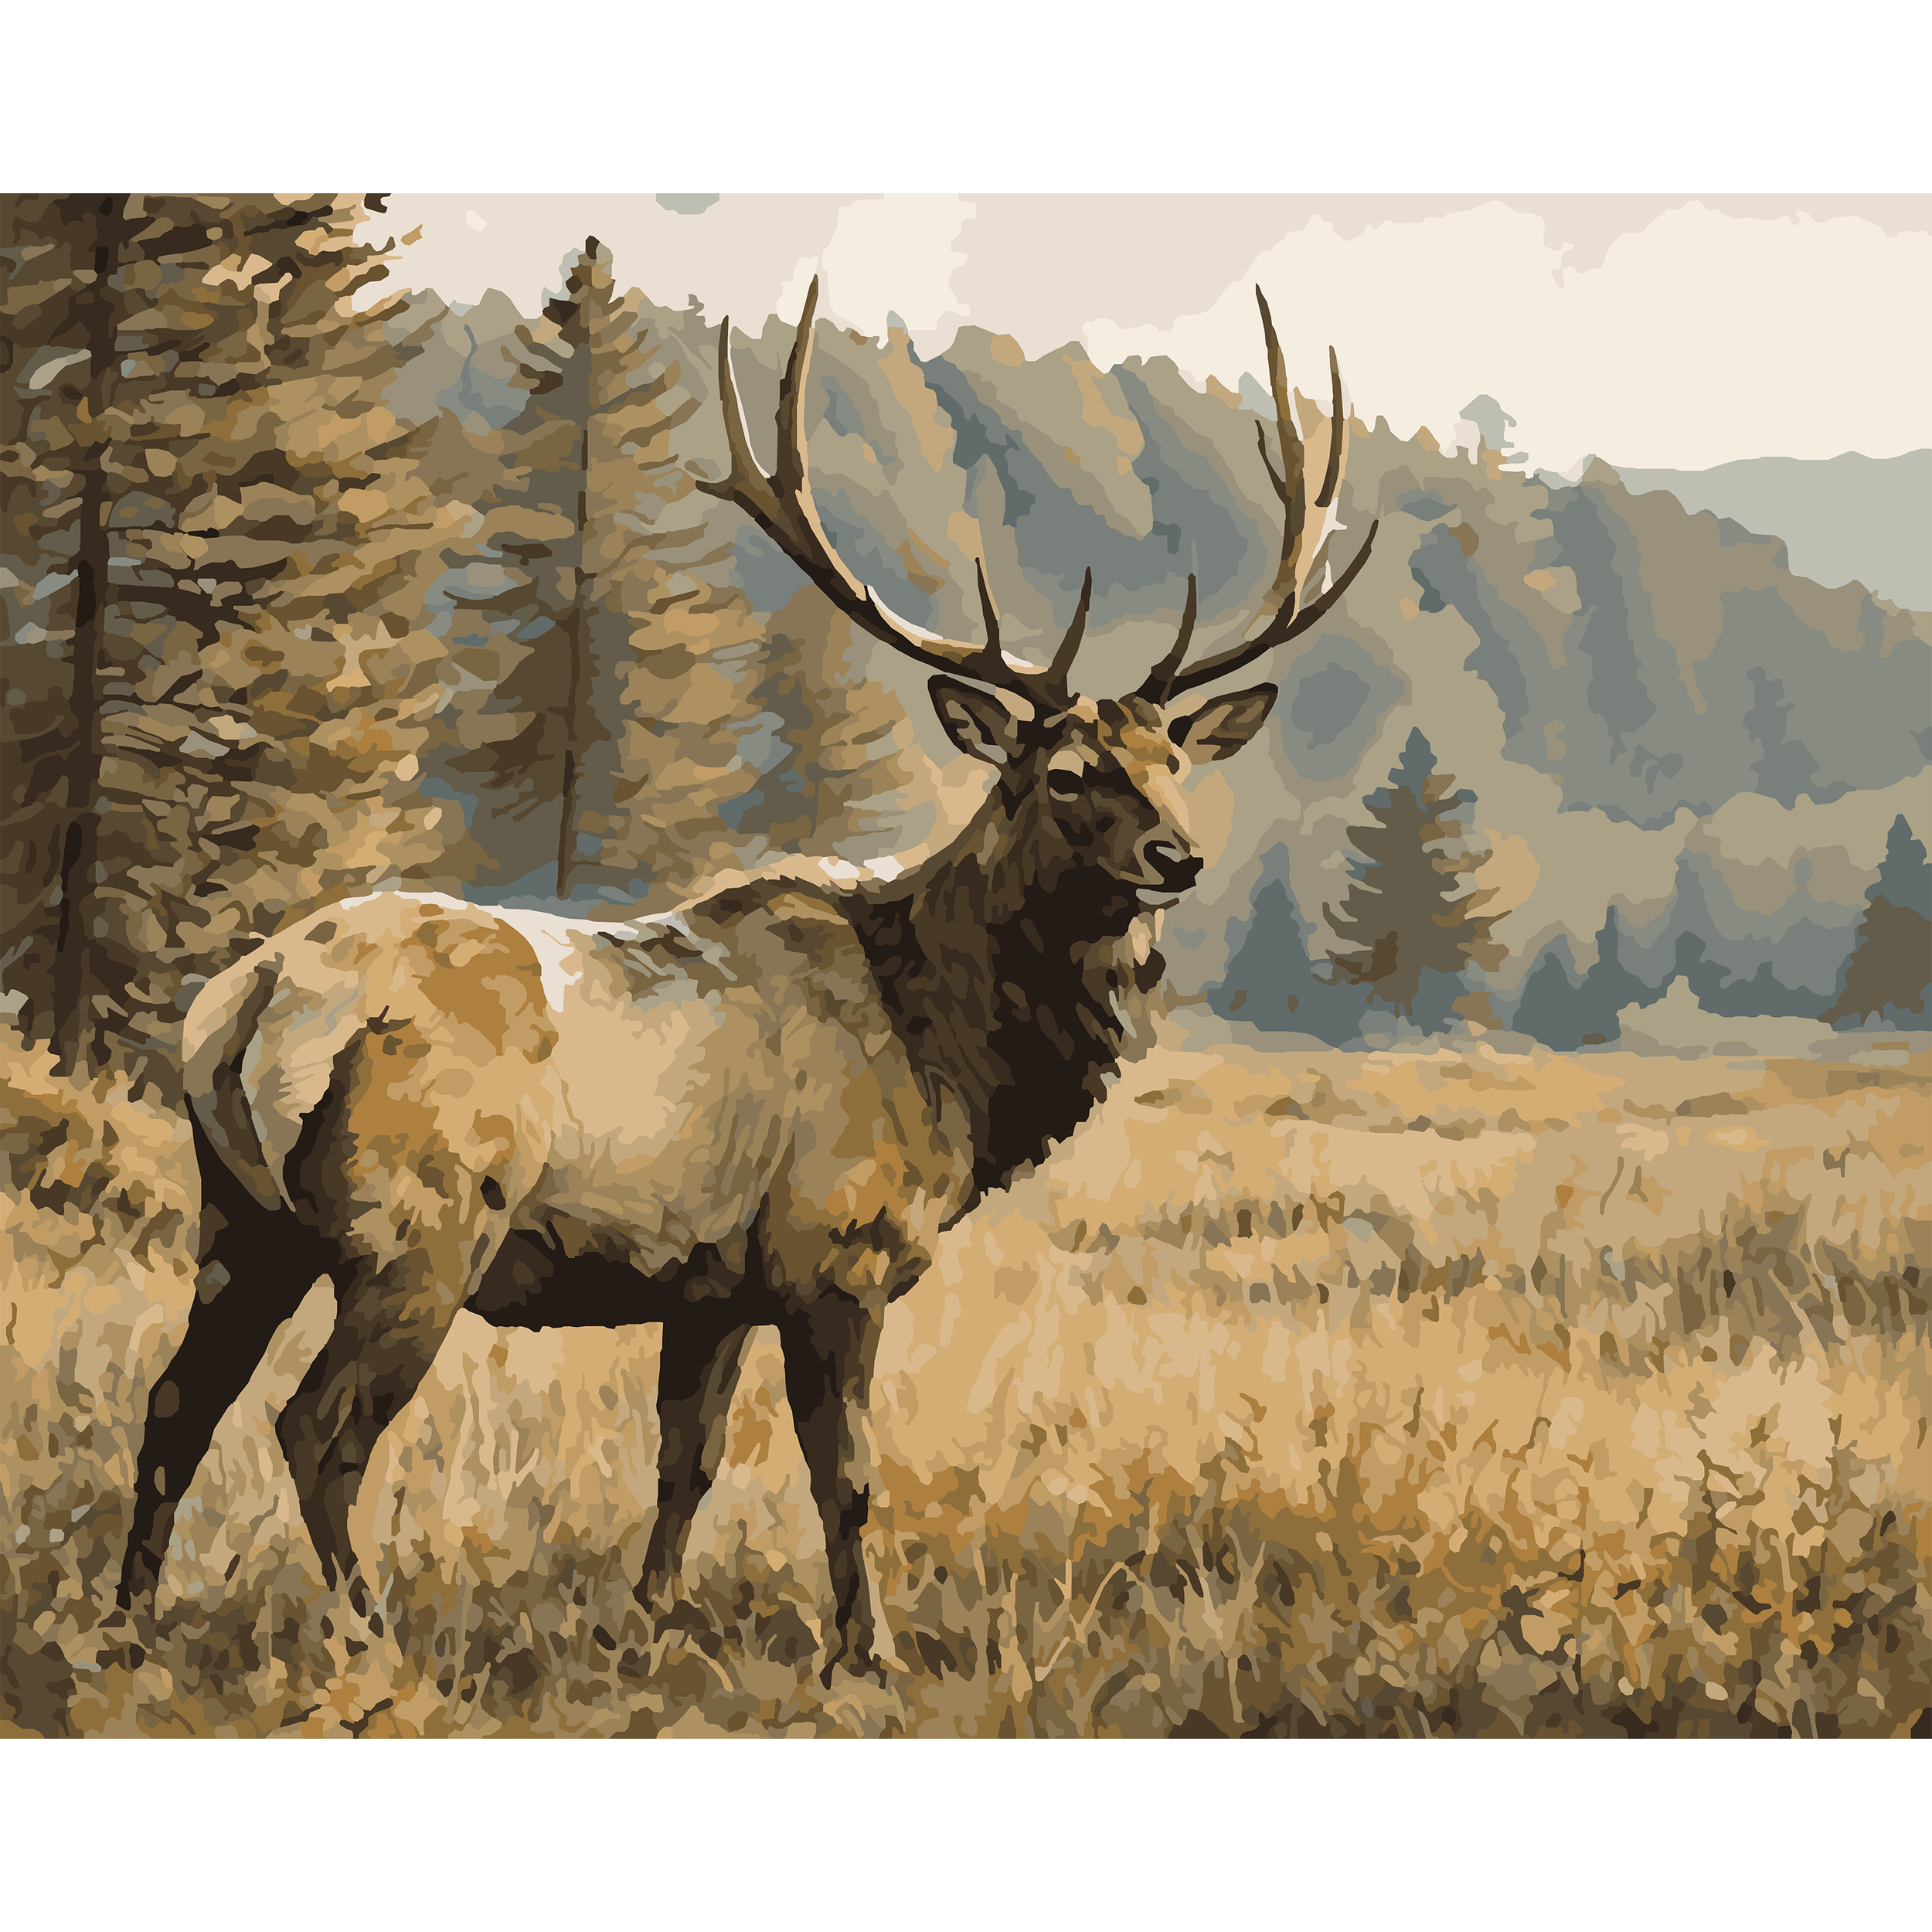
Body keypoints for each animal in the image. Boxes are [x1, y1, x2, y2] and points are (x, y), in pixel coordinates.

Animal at [113, 279, 1377, 1683]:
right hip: (417, 1226)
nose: (1180, 858)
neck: (955, 1060)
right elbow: (850, 1480)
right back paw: (367, 1636)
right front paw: (866, 1656)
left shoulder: (708, 1282)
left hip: (241, 1218)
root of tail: (251, 1002)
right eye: (1062, 775)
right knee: (314, 1429)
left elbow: (688, 1462)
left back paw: (127, 1629)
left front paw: (644, 1629)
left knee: (174, 1404)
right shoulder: (838, 1256)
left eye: (1175, 762)